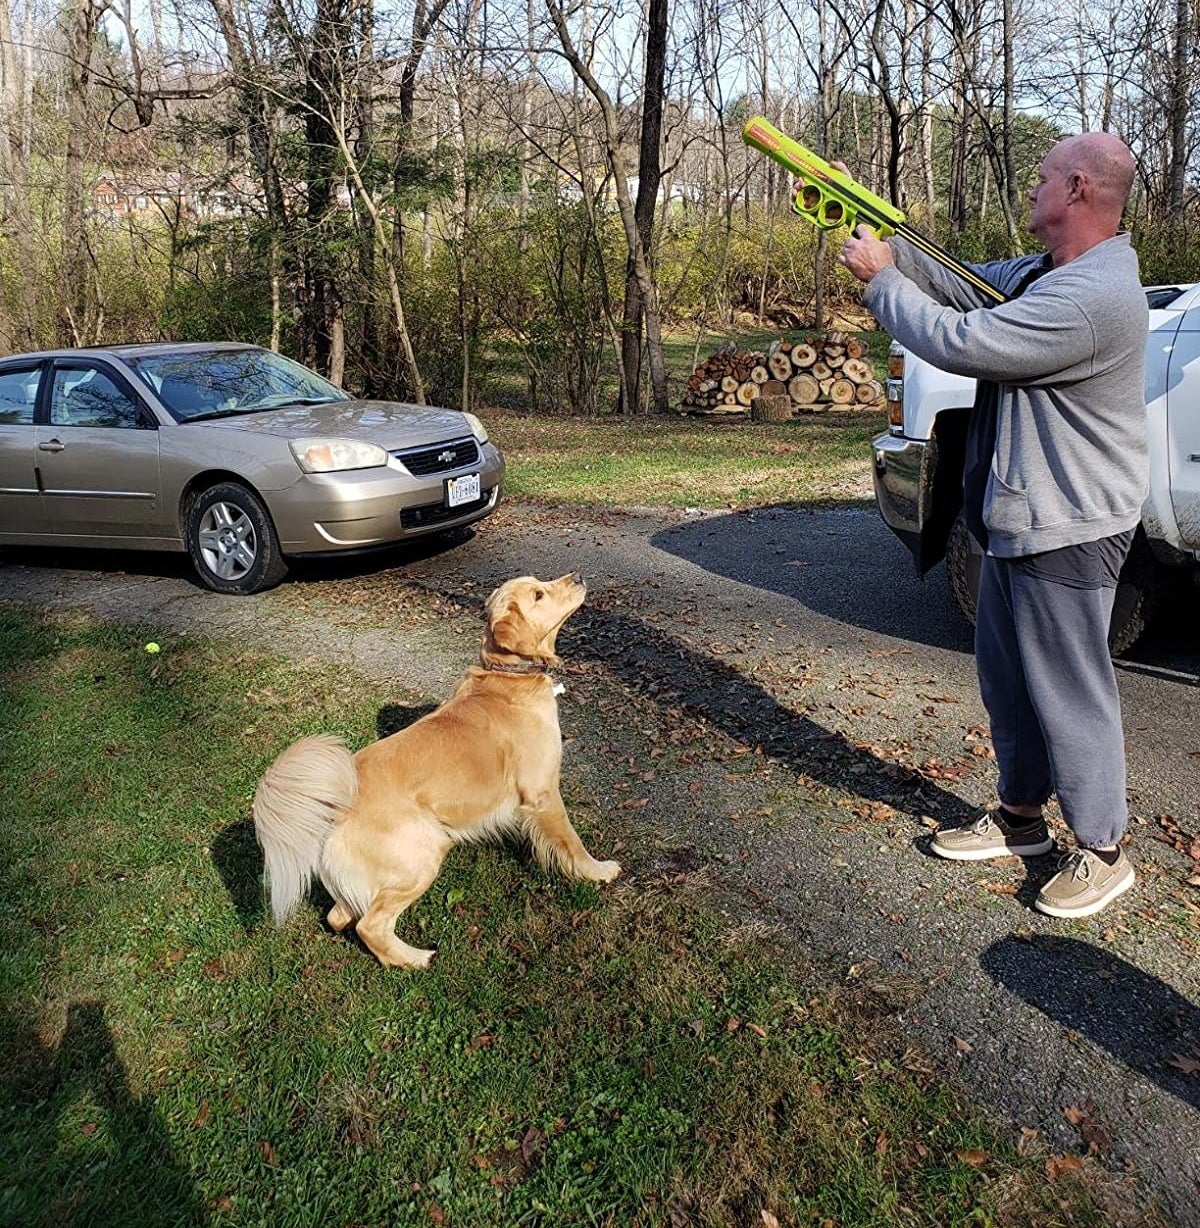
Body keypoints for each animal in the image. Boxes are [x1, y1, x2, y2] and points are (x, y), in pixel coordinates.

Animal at [248, 574, 614, 967]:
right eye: (539, 594)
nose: (578, 577)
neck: (507, 675)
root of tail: (333, 811)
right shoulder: (542, 792)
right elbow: (572, 843)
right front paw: (598, 871)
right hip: (422, 856)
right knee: (370, 925)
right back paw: (414, 959)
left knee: (338, 915)